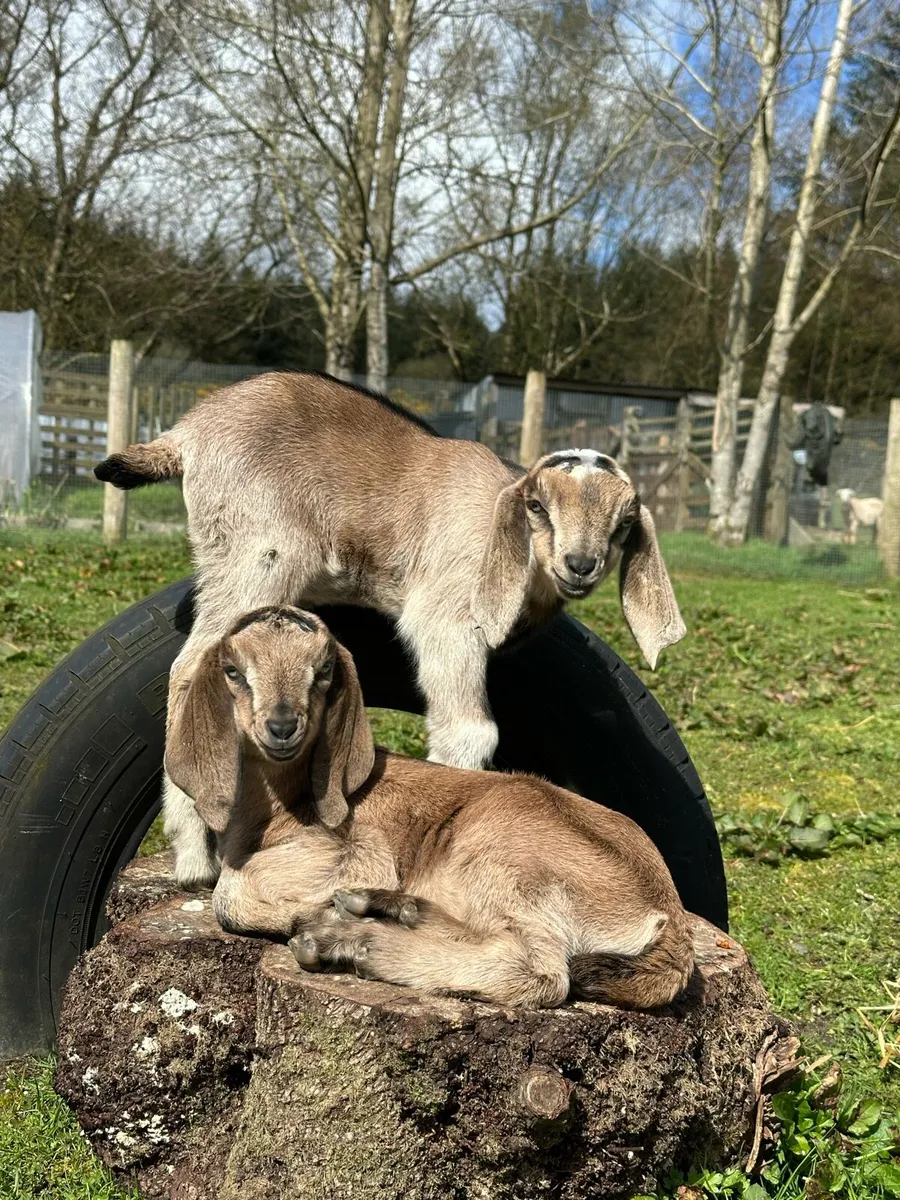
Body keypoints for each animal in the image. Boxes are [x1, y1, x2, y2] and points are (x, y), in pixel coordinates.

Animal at [96, 371, 685, 889]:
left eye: (624, 523)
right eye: (537, 506)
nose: (580, 564)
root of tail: (186, 434)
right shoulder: (446, 616)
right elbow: (470, 730)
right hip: (258, 556)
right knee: (190, 667)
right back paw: (195, 853)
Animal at [166, 605, 695, 1010]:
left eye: (323, 672)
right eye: (233, 671)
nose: (282, 726)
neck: (279, 810)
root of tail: (668, 917)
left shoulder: (359, 850)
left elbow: (226, 895)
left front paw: (305, 913)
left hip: (503, 849)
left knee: (540, 971)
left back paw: (349, 940)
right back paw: (383, 908)